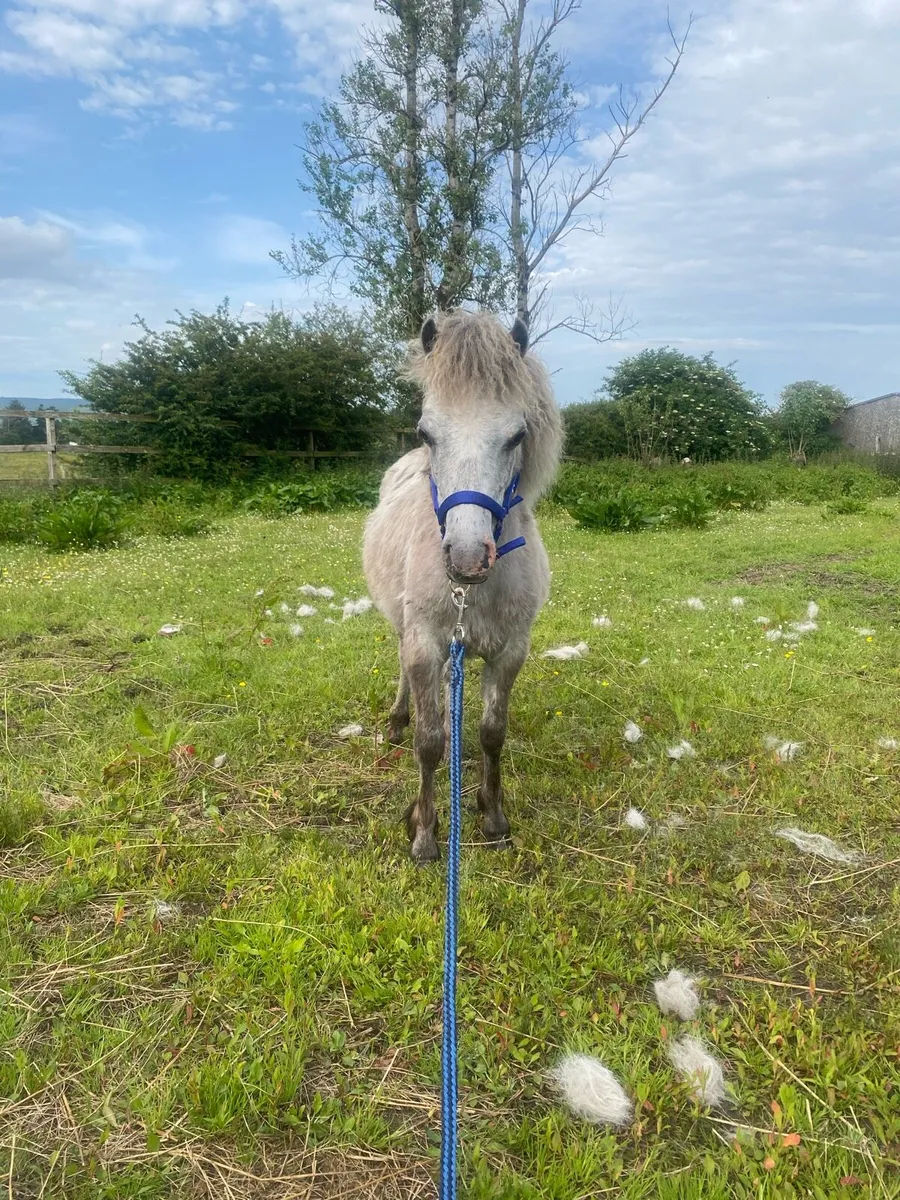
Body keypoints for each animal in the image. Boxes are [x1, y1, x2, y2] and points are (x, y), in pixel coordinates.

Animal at [363, 309, 563, 864]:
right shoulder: (425, 645)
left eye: (517, 435)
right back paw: (397, 719)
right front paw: (425, 832)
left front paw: (493, 814)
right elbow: (429, 741)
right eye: (426, 432)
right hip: (406, 634)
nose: (468, 558)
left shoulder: (510, 651)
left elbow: (493, 732)